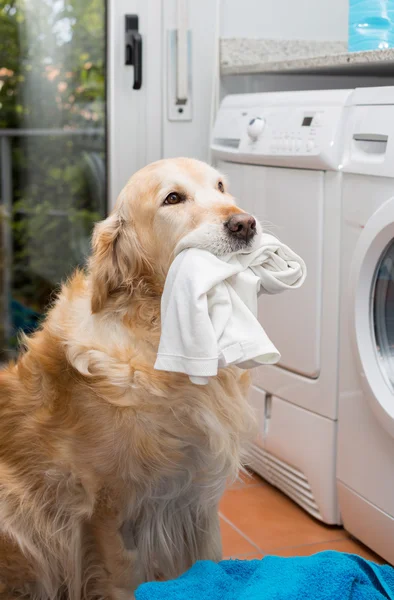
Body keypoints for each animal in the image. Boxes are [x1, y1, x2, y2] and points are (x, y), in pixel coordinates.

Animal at [0, 157, 255, 596]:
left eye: (221, 186)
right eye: (173, 198)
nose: (245, 224)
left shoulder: (197, 498)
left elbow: (211, 560)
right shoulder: (107, 513)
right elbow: (122, 581)